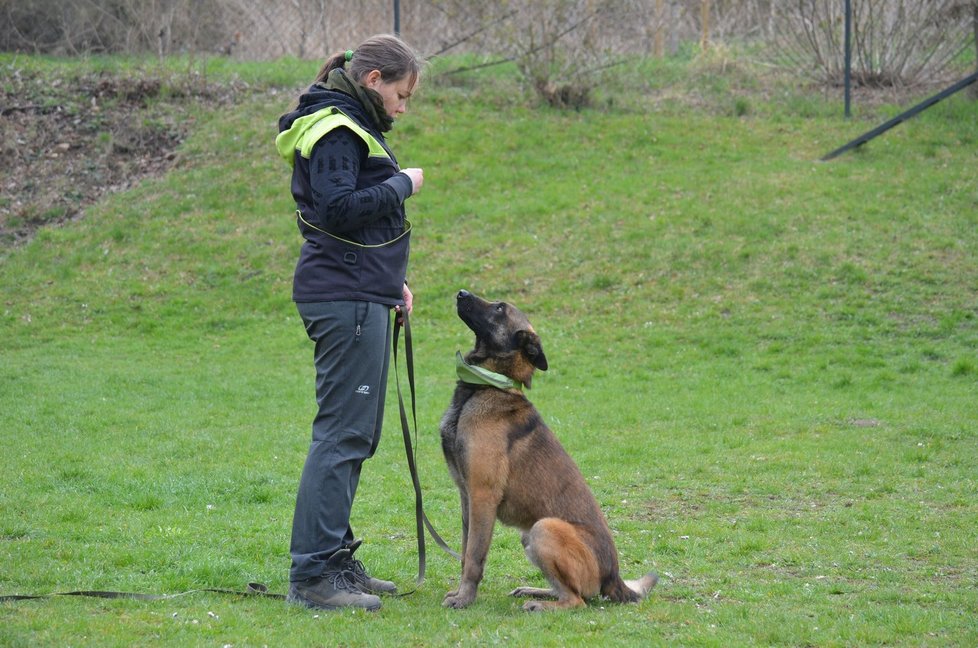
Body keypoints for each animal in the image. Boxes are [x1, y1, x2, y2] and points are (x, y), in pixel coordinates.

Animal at [436, 292, 656, 612]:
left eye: (499, 308)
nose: (461, 293)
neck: (489, 384)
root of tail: (614, 578)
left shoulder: (482, 495)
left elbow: (475, 557)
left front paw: (465, 598)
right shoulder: (467, 497)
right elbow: (465, 553)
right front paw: (461, 592)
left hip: (544, 528)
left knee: (577, 600)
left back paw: (541, 605)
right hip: (529, 536)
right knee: (567, 591)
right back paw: (536, 591)